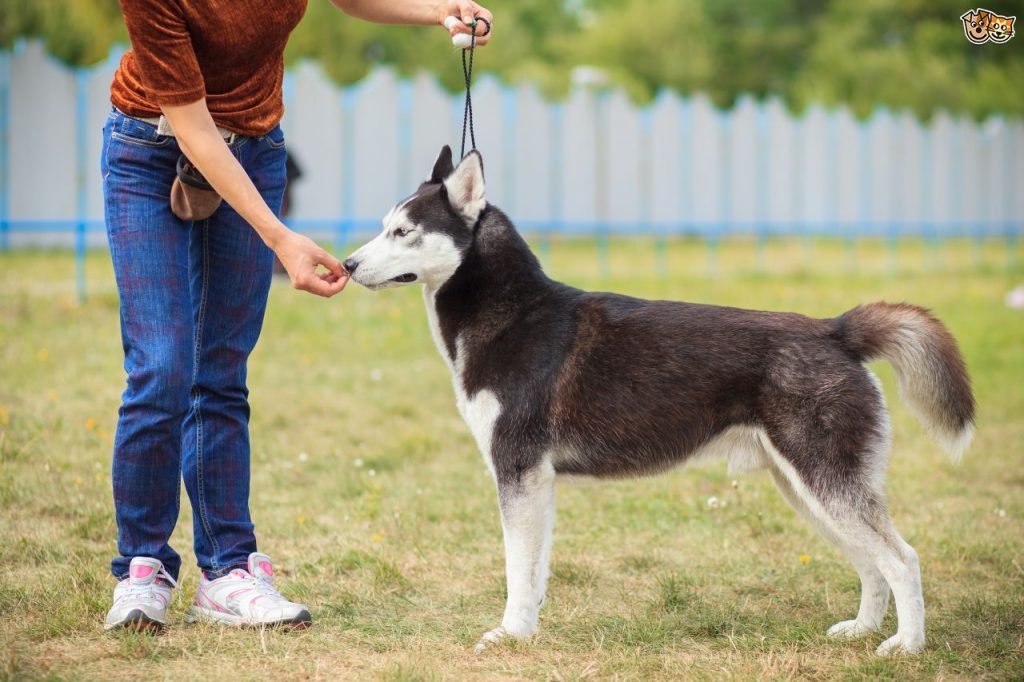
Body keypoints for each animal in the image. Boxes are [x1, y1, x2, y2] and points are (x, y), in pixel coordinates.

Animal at [344, 147, 974, 655]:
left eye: (404, 232)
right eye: (383, 227)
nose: (347, 265)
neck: (511, 316)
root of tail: (833, 329)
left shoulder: (518, 472)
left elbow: (516, 570)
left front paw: (511, 634)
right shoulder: (535, 483)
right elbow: (535, 570)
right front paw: (530, 628)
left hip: (826, 483)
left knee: (902, 559)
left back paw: (906, 646)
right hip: (806, 490)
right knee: (871, 563)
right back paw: (863, 630)